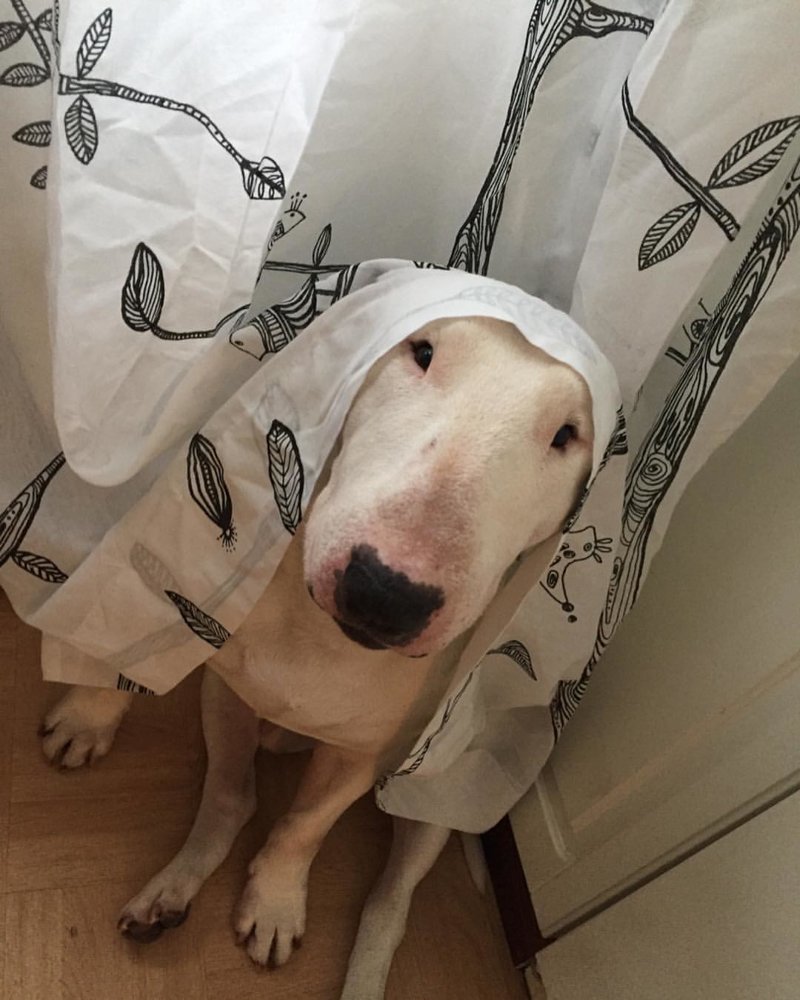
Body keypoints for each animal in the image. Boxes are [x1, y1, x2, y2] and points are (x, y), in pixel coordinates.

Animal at [39, 316, 592, 996]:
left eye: (568, 434)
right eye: (422, 351)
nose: (386, 592)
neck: (319, 635)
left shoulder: (362, 751)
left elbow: (305, 825)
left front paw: (275, 902)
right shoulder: (205, 615)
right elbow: (135, 649)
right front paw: (86, 717)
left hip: (439, 791)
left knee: (388, 902)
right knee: (235, 793)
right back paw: (168, 893)